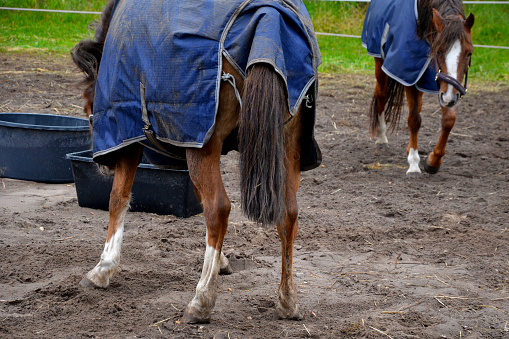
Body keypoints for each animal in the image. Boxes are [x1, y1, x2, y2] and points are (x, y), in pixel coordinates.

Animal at [71, 0, 320, 324]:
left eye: (88, 105)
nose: (103, 165)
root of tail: (269, 16)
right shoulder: (189, 140)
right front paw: (221, 262)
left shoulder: (132, 135)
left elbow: (117, 199)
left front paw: (103, 269)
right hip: (288, 147)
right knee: (287, 214)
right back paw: (287, 299)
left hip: (205, 146)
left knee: (218, 208)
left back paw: (201, 300)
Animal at [362, 0, 472, 175]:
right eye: (439, 51)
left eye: (469, 53)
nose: (450, 97)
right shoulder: (411, 78)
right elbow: (414, 120)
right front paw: (413, 163)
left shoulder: (442, 84)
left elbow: (449, 120)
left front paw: (433, 161)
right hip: (380, 62)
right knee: (382, 94)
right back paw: (381, 137)